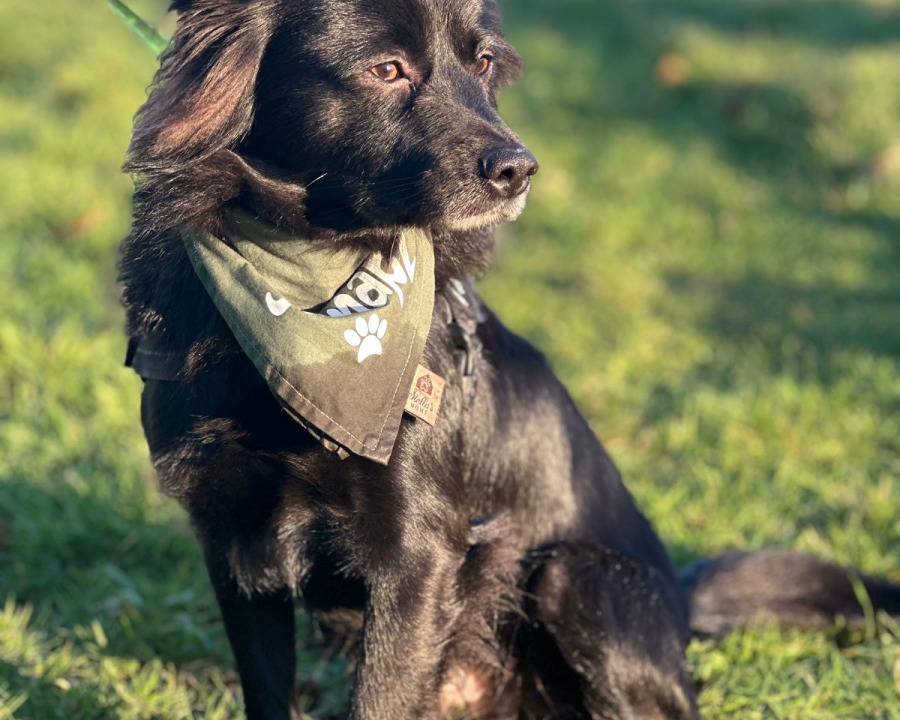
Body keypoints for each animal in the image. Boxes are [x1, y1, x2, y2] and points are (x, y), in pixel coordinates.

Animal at [119, 1, 900, 718]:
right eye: (386, 71)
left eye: (485, 63)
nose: (519, 170)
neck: (314, 288)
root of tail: (680, 602)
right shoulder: (232, 540)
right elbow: (269, 691)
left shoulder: (416, 556)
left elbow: (381, 697)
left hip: (575, 578)